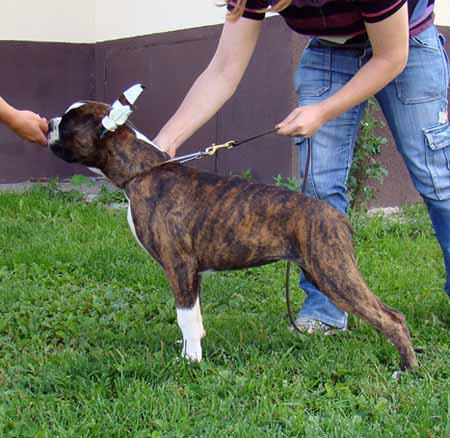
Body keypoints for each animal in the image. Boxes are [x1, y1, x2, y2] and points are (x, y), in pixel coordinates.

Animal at [47, 84, 418, 371]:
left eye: (66, 125)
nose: (47, 123)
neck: (142, 171)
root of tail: (337, 216)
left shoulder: (179, 267)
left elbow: (185, 317)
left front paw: (191, 362)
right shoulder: (192, 275)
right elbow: (194, 318)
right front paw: (192, 351)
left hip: (333, 272)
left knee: (392, 317)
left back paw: (406, 369)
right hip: (322, 271)